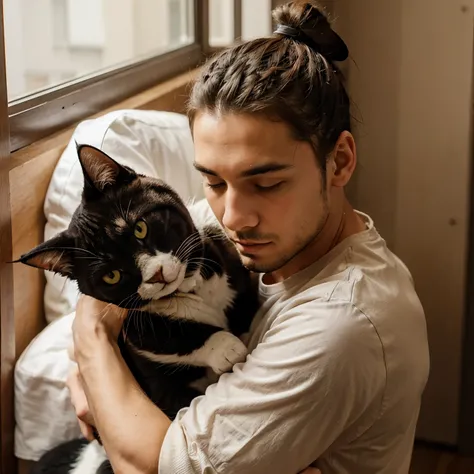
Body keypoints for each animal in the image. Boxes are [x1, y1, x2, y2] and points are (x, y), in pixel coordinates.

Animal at [16, 145, 260, 474]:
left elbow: (240, 291)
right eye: (111, 275)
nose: (156, 275)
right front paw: (224, 347)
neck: (188, 291)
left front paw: (244, 325)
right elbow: (166, 338)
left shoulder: (222, 253)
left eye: (140, 228)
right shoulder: (135, 330)